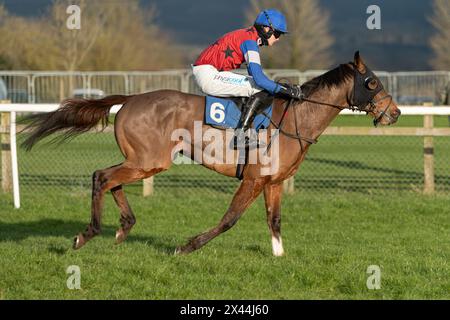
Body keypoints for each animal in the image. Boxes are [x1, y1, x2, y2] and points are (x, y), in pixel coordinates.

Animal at [22, 53, 400, 258]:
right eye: (372, 83)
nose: (394, 113)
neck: (295, 117)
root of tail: (130, 98)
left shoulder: (273, 181)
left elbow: (275, 220)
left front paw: (280, 256)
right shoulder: (253, 179)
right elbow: (229, 219)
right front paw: (186, 246)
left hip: (142, 162)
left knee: (110, 179)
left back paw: (123, 228)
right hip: (148, 161)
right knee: (101, 176)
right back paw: (88, 233)